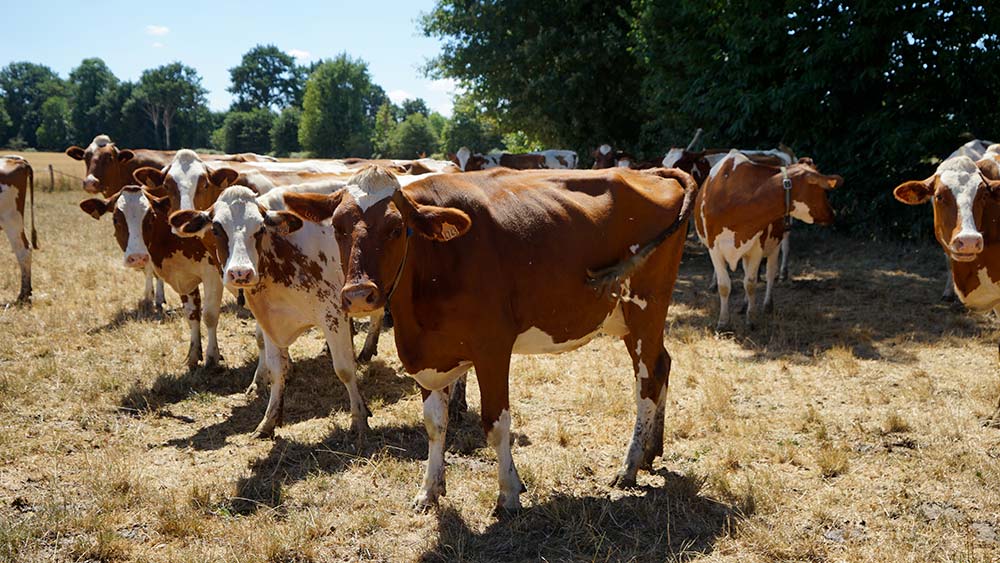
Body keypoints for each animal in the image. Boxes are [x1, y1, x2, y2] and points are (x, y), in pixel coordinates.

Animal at [80, 187, 225, 368]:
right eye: (115, 219)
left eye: (151, 218)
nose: (137, 257)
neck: (175, 238)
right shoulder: (184, 278)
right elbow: (192, 315)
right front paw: (193, 354)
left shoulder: (213, 273)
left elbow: (210, 315)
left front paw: (212, 357)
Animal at [282, 165, 700, 512]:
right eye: (338, 227)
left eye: (397, 228)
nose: (358, 295)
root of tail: (651, 171)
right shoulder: (430, 355)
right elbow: (435, 424)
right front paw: (430, 489)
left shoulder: (493, 348)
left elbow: (496, 423)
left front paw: (509, 493)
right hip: (627, 319)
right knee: (662, 366)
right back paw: (651, 451)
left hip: (646, 307)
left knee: (646, 383)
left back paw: (629, 466)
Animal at [696, 152, 844, 332]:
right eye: (821, 190)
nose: (833, 213)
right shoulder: (714, 247)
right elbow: (724, 285)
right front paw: (723, 323)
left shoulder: (757, 247)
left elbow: (750, 284)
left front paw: (751, 319)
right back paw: (744, 305)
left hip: (775, 242)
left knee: (770, 272)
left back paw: (767, 305)